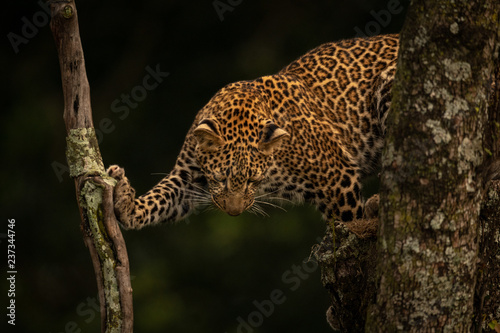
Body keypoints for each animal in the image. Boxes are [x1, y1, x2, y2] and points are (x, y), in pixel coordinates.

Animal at [107, 34, 400, 231]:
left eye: (251, 180)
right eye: (220, 178)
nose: (234, 213)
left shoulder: (337, 177)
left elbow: (349, 219)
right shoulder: (187, 177)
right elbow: (161, 197)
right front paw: (127, 204)